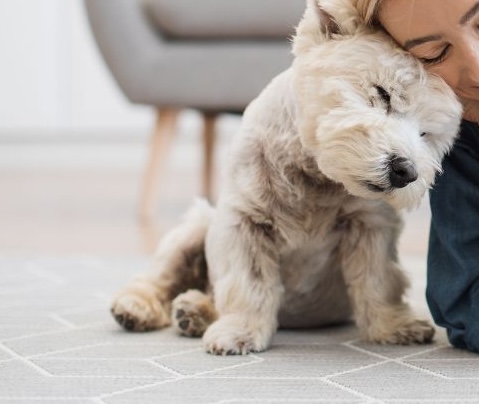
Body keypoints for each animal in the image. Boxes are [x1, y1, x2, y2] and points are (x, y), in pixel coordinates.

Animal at [110, 0, 464, 354]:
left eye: (426, 134)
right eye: (383, 93)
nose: (406, 171)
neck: (317, 176)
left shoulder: (371, 225)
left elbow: (378, 279)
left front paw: (394, 326)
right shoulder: (242, 222)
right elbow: (248, 282)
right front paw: (239, 331)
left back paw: (195, 312)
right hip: (195, 228)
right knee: (161, 277)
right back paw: (139, 308)